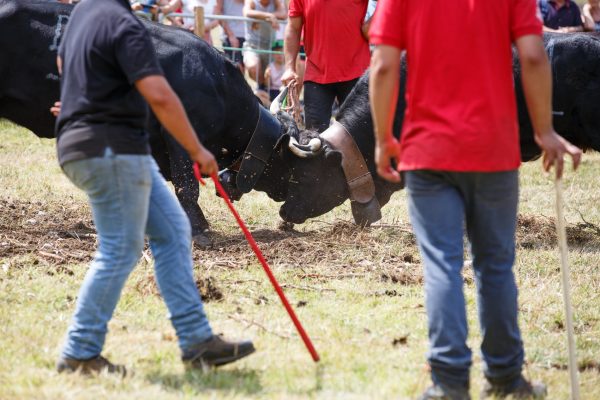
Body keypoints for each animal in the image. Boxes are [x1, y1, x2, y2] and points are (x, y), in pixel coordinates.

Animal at [0, 0, 310, 241]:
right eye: (295, 163)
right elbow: (187, 186)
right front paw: (198, 230)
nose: (302, 208)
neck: (215, 82)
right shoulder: (181, 138)